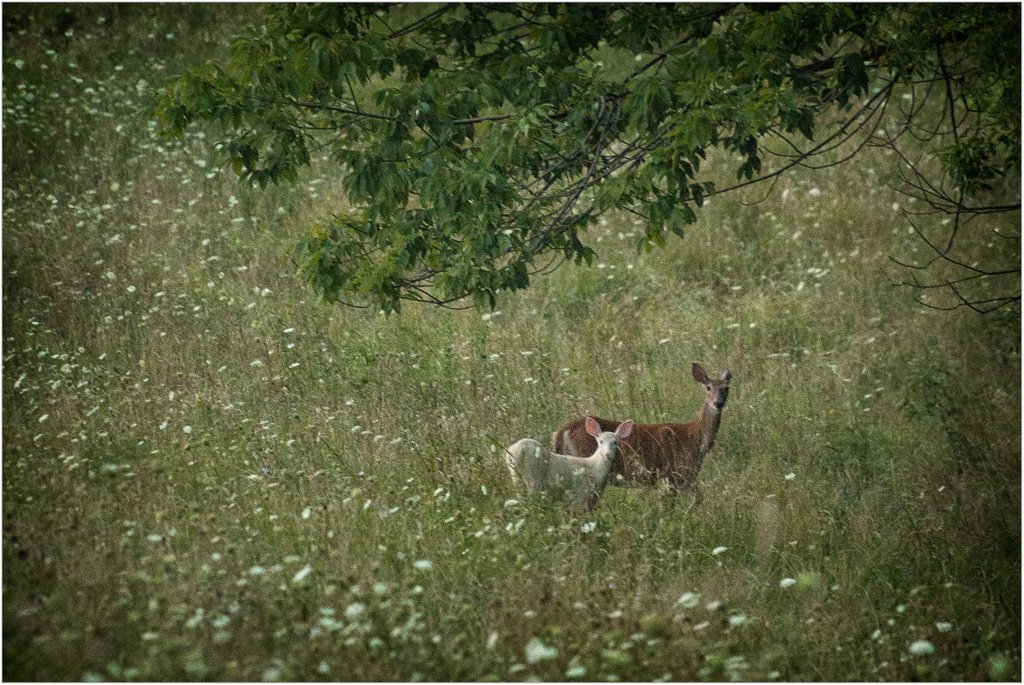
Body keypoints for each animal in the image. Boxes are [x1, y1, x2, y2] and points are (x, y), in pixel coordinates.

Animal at [552, 362, 729, 507]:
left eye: (726, 388)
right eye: (708, 387)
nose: (718, 403)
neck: (694, 438)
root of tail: (561, 432)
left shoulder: (686, 478)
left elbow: (699, 498)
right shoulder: (670, 475)